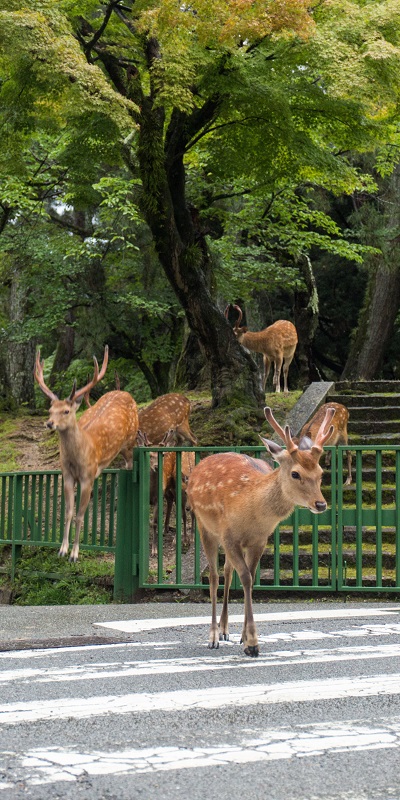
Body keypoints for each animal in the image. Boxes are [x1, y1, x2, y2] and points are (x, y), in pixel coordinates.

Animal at [34, 346, 141, 564]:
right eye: (50, 409)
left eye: (66, 411)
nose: (49, 423)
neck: (78, 457)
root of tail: (126, 393)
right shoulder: (66, 475)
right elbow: (68, 512)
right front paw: (62, 550)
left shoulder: (88, 477)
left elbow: (80, 515)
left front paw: (75, 554)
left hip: (131, 440)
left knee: (129, 465)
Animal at [187, 406, 334, 656]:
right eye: (295, 473)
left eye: (321, 472)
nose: (321, 504)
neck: (252, 511)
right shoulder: (229, 536)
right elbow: (245, 578)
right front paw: (253, 644)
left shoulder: (259, 540)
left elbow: (251, 577)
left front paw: (245, 638)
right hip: (203, 525)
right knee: (214, 576)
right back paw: (215, 635)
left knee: (227, 571)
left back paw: (226, 629)